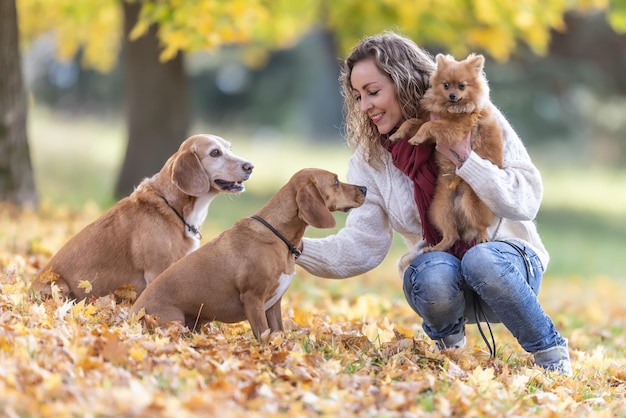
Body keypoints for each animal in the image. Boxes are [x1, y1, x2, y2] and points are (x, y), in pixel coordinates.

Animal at [30, 134, 252, 300]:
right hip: (59, 285)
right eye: (215, 153)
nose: (250, 166)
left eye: (230, 148)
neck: (174, 208)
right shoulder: (157, 272)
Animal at [130, 167, 366, 340]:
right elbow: (263, 335)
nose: (364, 187)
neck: (278, 234)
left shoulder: (274, 305)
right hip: (174, 322)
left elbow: (278, 333)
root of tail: (131, 314)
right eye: (336, 182)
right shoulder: (254, 299)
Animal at [390, 54, 502, 253]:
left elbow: (430, 125)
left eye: (462, 86)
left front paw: (416, 138)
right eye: (446, 85)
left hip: (471, 202)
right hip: (440, 209)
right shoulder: (431, 130)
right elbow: (412, 122)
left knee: (481, 226)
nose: (452, 95)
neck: (449, 109)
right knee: (451, 236)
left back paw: (481, 238)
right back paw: (435, 248)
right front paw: (398, 134)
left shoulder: (455, 129)